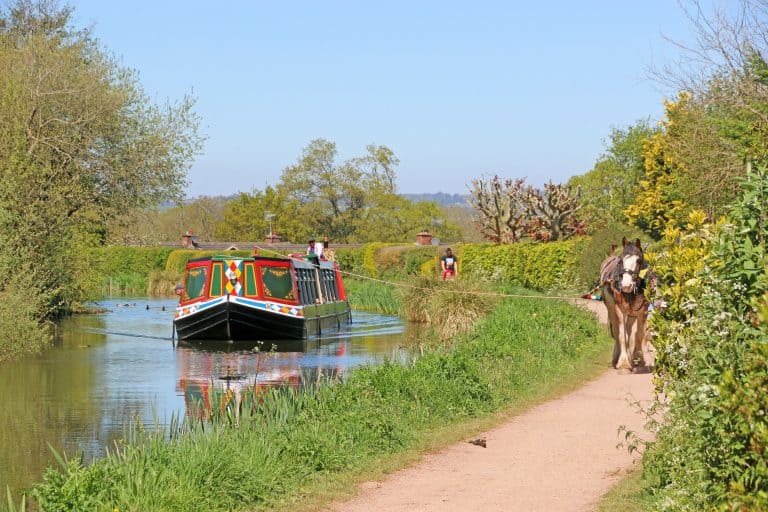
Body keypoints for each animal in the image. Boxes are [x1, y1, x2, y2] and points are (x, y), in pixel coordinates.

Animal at [599, 237, 650, 373]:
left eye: (638, 260)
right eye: (621, 260)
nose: (626, 285)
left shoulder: (643, 310)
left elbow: (639, 335)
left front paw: (639, 360)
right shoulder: (619, 309)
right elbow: (622, 335)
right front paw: (623, 364)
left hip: (632, 313)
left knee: (629, 330)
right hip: (611, 309)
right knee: (618, 332)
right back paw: (617, 358)